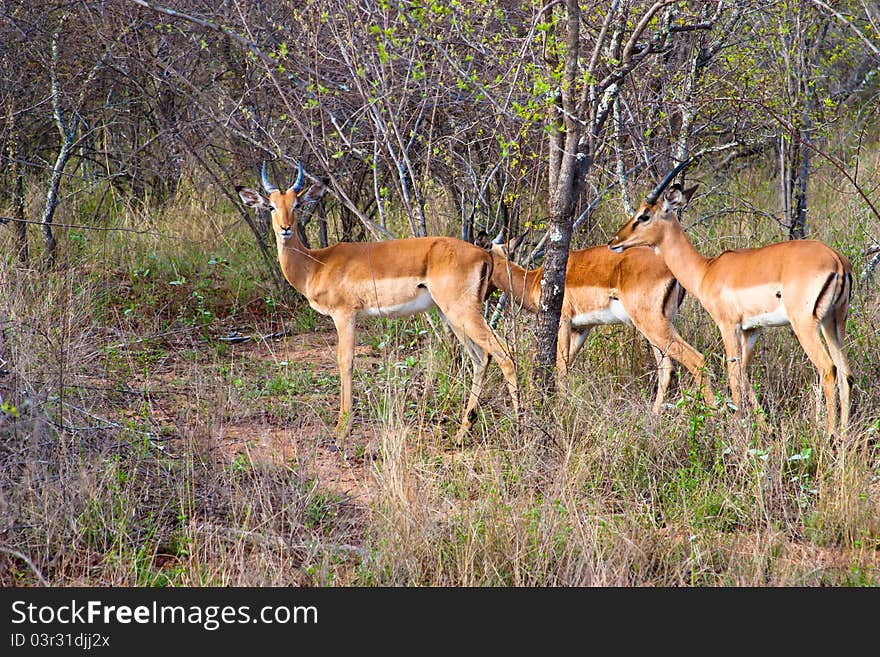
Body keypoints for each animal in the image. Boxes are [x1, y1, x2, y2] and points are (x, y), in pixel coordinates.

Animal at [608, 159, 848, 436]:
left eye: (644, 215)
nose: (614, 241)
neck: (706, 270)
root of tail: (837, 261)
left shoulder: (728, 325)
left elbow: (733, 374)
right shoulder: (751, 329)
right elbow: (743, 374)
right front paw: (763, 427)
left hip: (806, 326)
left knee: (828, 368)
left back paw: (830, 436)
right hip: (834, 323)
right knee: (846, 373)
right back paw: (845, 434)